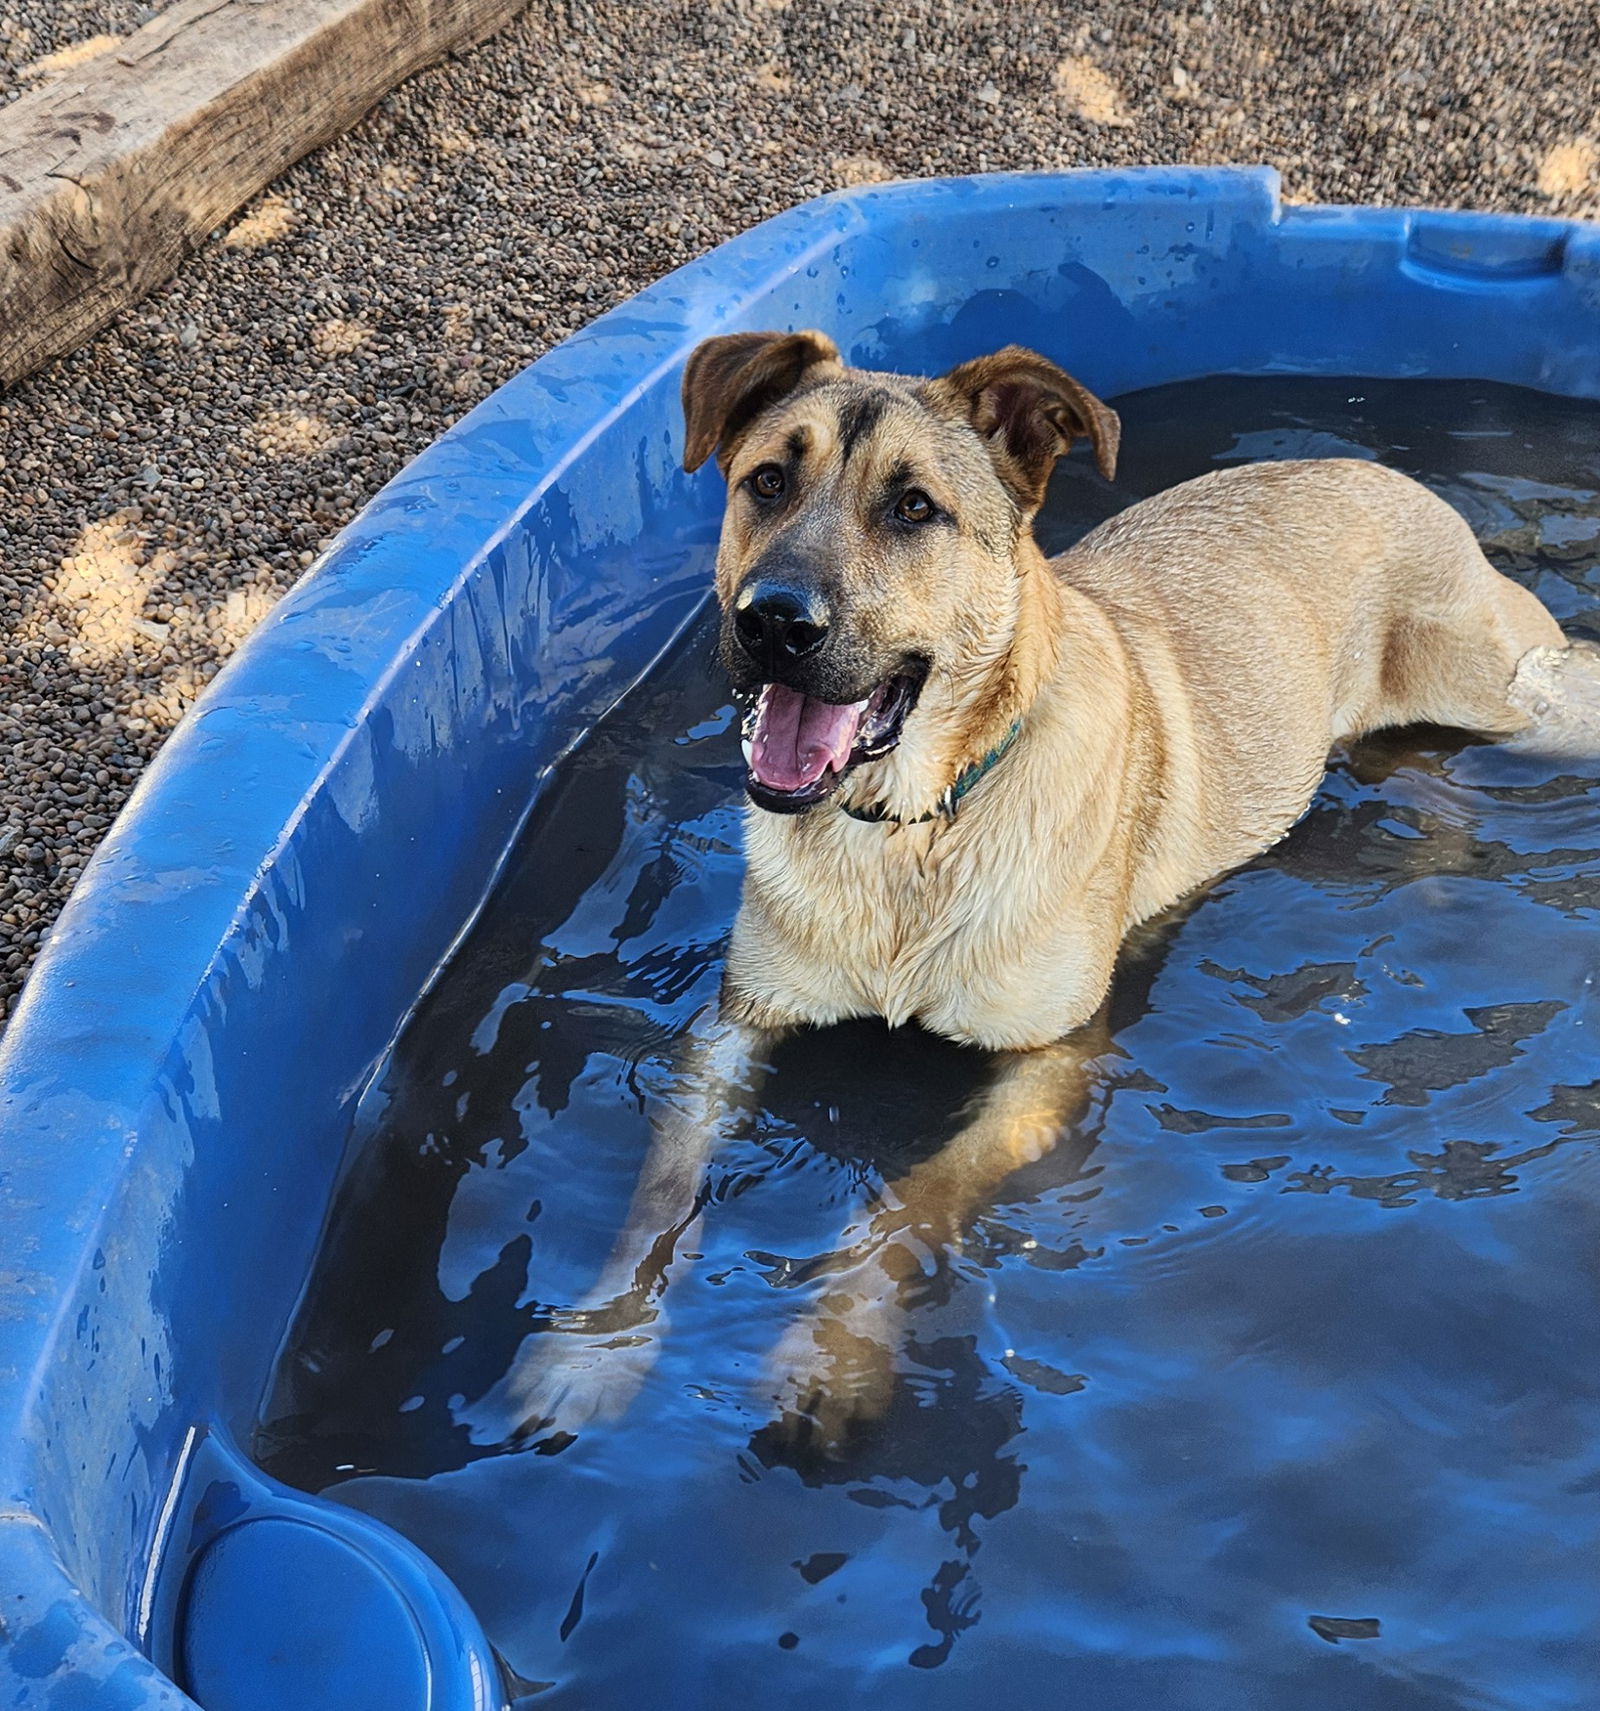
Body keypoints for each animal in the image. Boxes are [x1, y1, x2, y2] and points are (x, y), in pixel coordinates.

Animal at [509, 333, 1600, 1444]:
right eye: (766, 481)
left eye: (914, 507)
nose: (772, 621)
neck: (915, 832)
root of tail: (1383, 473)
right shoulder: (736, 1027)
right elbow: (659, 1191)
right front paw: (597, 1343)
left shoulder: (1049, 1067)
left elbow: (908, 1196)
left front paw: (834, 1350)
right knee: (1423, 774)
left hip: (1518, 700)